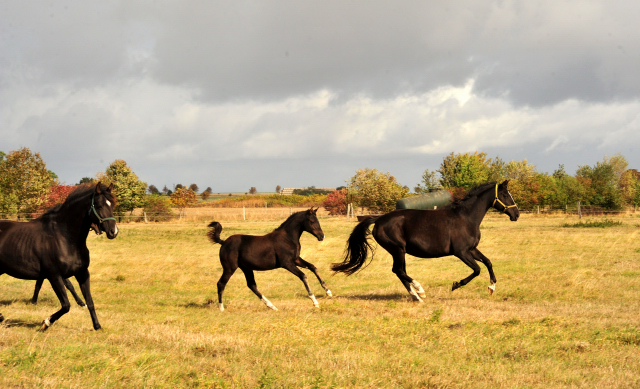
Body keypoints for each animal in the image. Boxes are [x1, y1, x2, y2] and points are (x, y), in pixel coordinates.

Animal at [0, 183, 119, 328]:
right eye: (100, 206)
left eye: (112, 205)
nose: (114, 232)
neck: (64, 237)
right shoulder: (54, 275)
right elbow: (66, 305)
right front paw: (46, 323)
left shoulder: (82, 273)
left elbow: (90, 302)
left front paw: (97, 326)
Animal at [332, 180, 516, 302]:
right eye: (505, 195)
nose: (516, 214)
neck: (466, 218)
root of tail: (378, 220)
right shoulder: (461, 252)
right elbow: (477, 269)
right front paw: (456, 284)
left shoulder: (471, 249)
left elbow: (488, 262)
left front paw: (491, 288)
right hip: (398, 250)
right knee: (399, 271)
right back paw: (420, 291)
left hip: (399, 252)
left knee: (399, 272)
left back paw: (416, 297)